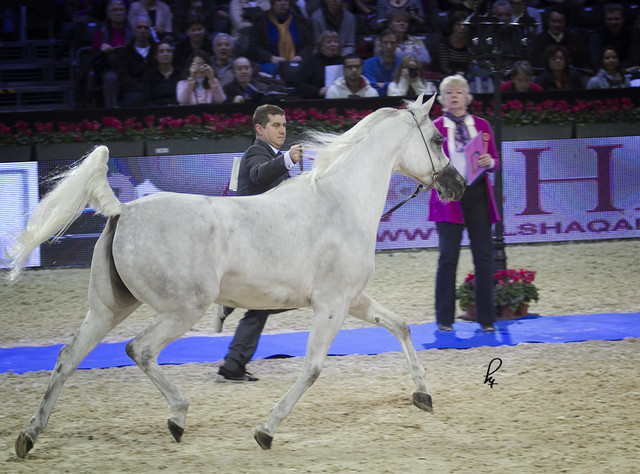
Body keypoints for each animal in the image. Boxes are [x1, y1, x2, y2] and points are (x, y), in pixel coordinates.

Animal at [6, 93, 466, 458]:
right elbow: (313, 367)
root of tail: (123, 210)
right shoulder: (332, 306)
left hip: (109, 308)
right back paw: (177, 417)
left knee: (67, 357)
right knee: (139, 349)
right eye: (437, 139)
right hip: (182, 309)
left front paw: (423, 395)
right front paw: (266, 431)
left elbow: (401, 326)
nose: (457, 185)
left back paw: (29, 436)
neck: (340, 203)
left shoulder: (351, 300)